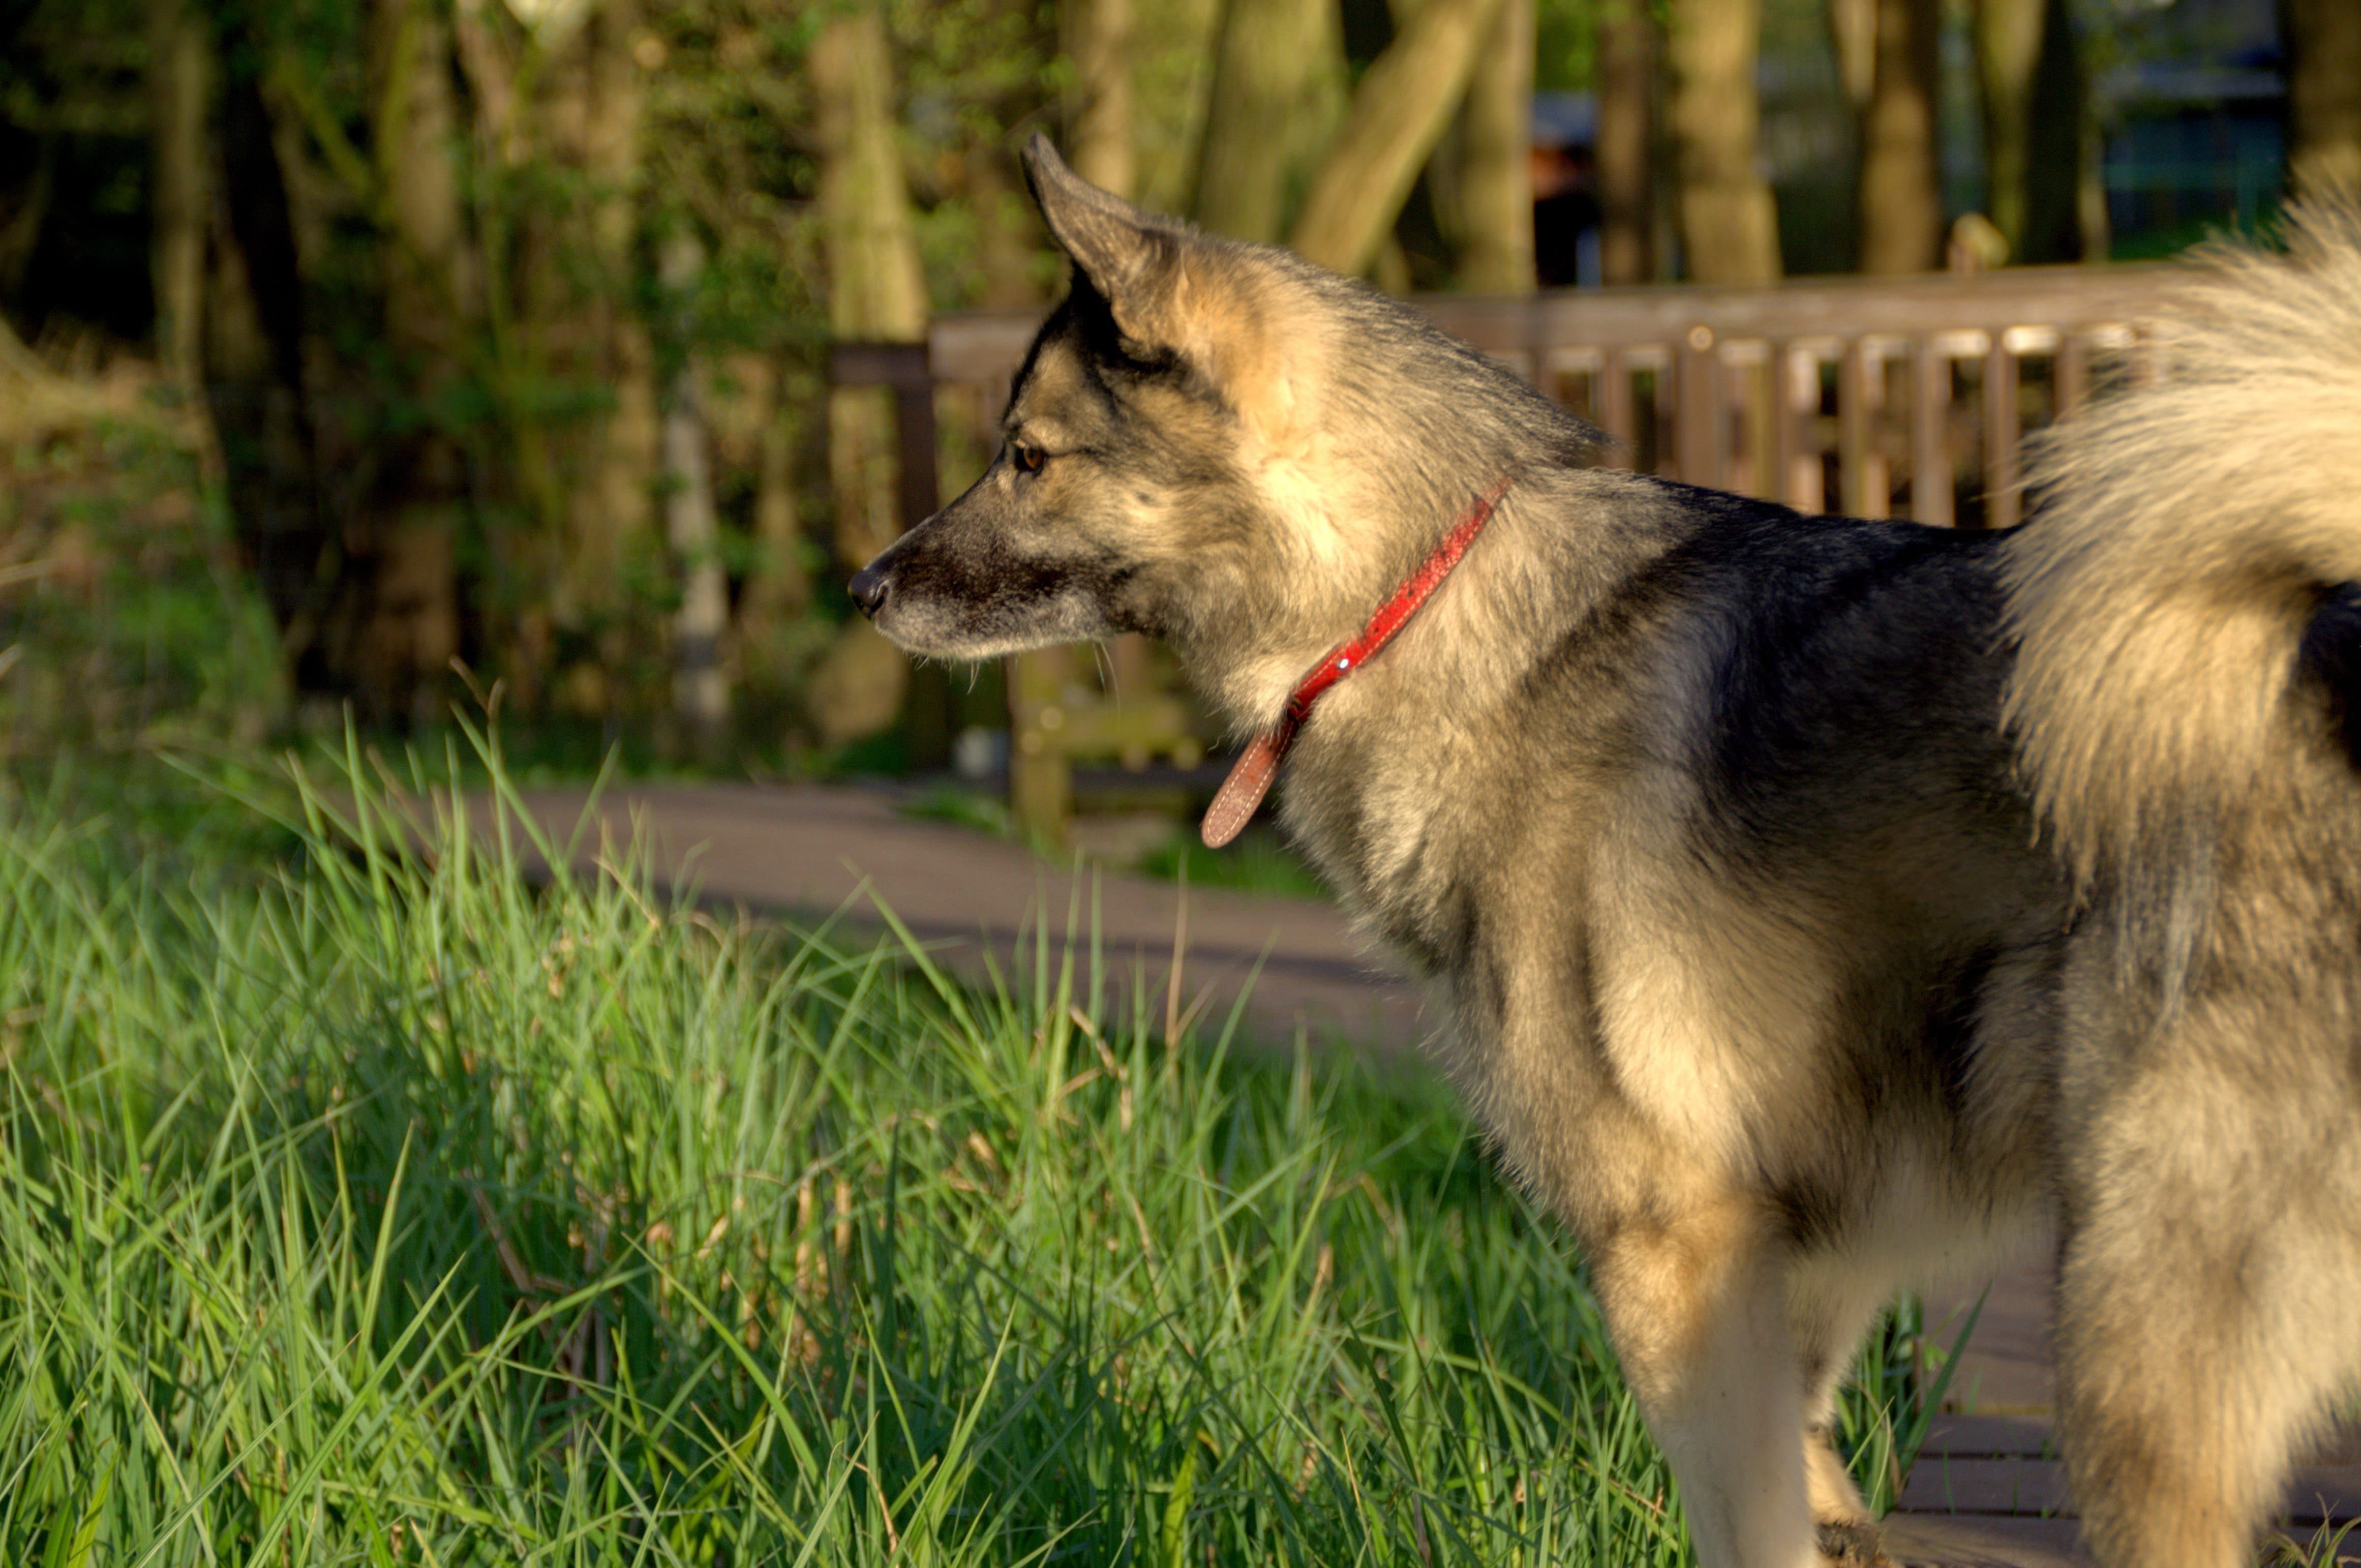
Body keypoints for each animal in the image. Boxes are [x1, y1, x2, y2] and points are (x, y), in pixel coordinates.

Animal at [850, 135, 2361, 1568]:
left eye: (1028, 456)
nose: (861, 587)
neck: (1419, 590)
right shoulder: (1799, 1254)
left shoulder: (1673, 1249)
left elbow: (1743, 1525)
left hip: (2134, 1347)